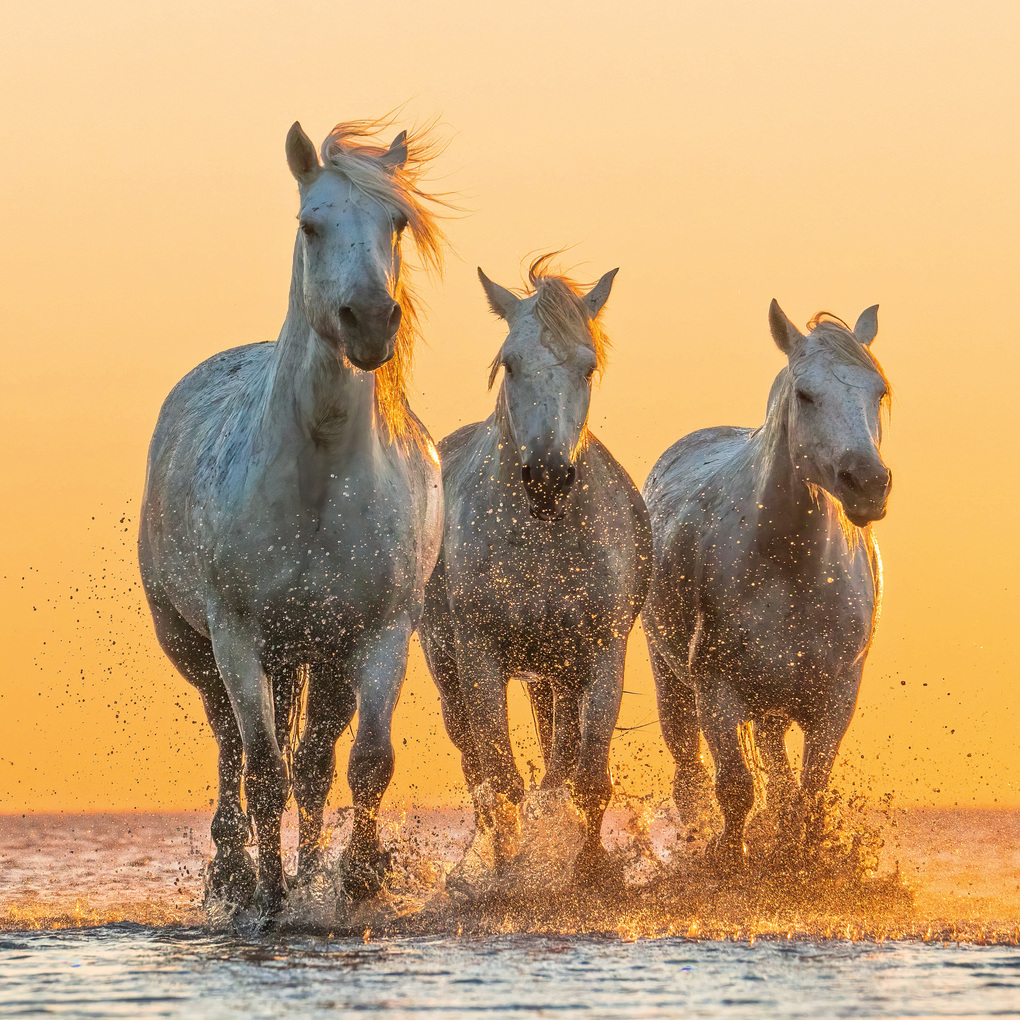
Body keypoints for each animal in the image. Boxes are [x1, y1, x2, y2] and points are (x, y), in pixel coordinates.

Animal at [138, 118, 447, 916]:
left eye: (397, 224)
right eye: (311, 224)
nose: (369, 322)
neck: (318, 480)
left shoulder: (380, 634)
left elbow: (364, 763)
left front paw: (358, 880)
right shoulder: (238, 636)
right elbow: (262, 770)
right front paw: (269, 896)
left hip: (319, 655)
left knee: (312, 762)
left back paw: (310, 874)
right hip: (201, 648)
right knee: (232, 747)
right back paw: (234, 875)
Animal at [418, 257, 652, 883]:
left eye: (587, 366)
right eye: (509, 363)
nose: (547, 478)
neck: (544, 539)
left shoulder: (600, 654)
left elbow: (587, 777)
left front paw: (590, 870)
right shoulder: (479, 657)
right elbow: (501, 779)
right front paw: (510, 872)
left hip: (557, 674)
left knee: (558, 757)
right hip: (451, 669)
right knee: (478, 768)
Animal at [640, 301, 892, 869]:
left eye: (878, 391)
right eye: (805, 395)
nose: (868, 483)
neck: (790, 569)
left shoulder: (836, 695)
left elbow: (807, 792)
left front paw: (795, 861)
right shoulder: (717, 689)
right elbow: (735, 787)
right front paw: (729, 860)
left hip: (775, 701)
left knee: (777, 772)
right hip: (674, 679)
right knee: (690, 776)